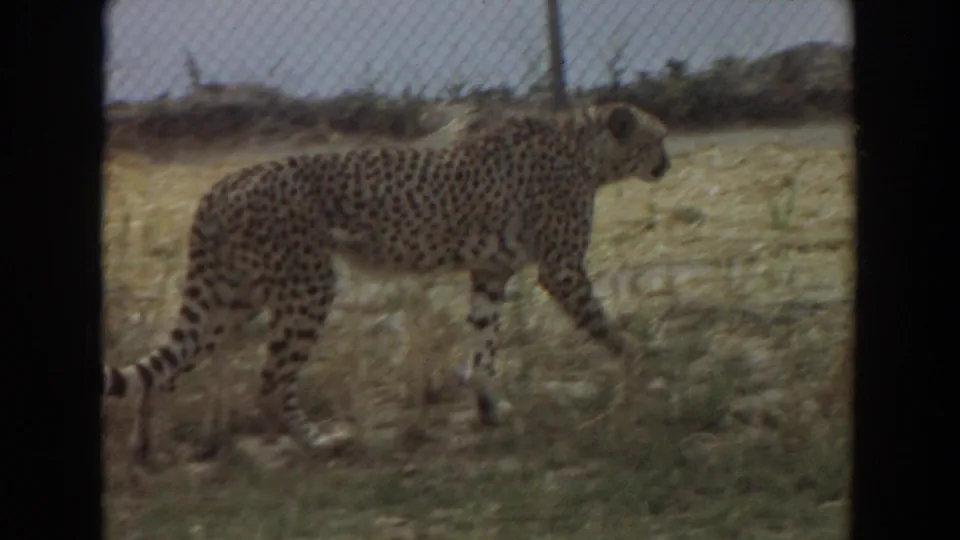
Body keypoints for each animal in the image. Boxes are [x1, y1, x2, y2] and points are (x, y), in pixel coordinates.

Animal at [102, 101, 671, 465]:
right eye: (659, 138)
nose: (667, 163)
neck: (585, 149)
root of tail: (222, 184)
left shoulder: (490, 272)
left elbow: (483, 345)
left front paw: (488, 408)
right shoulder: (562, 269)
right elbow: (607, 330)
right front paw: (642, 373)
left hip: (234, 296)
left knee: (168, 369)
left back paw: (143, 449)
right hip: (305, 288)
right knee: (269, 380)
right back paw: (317, 444)